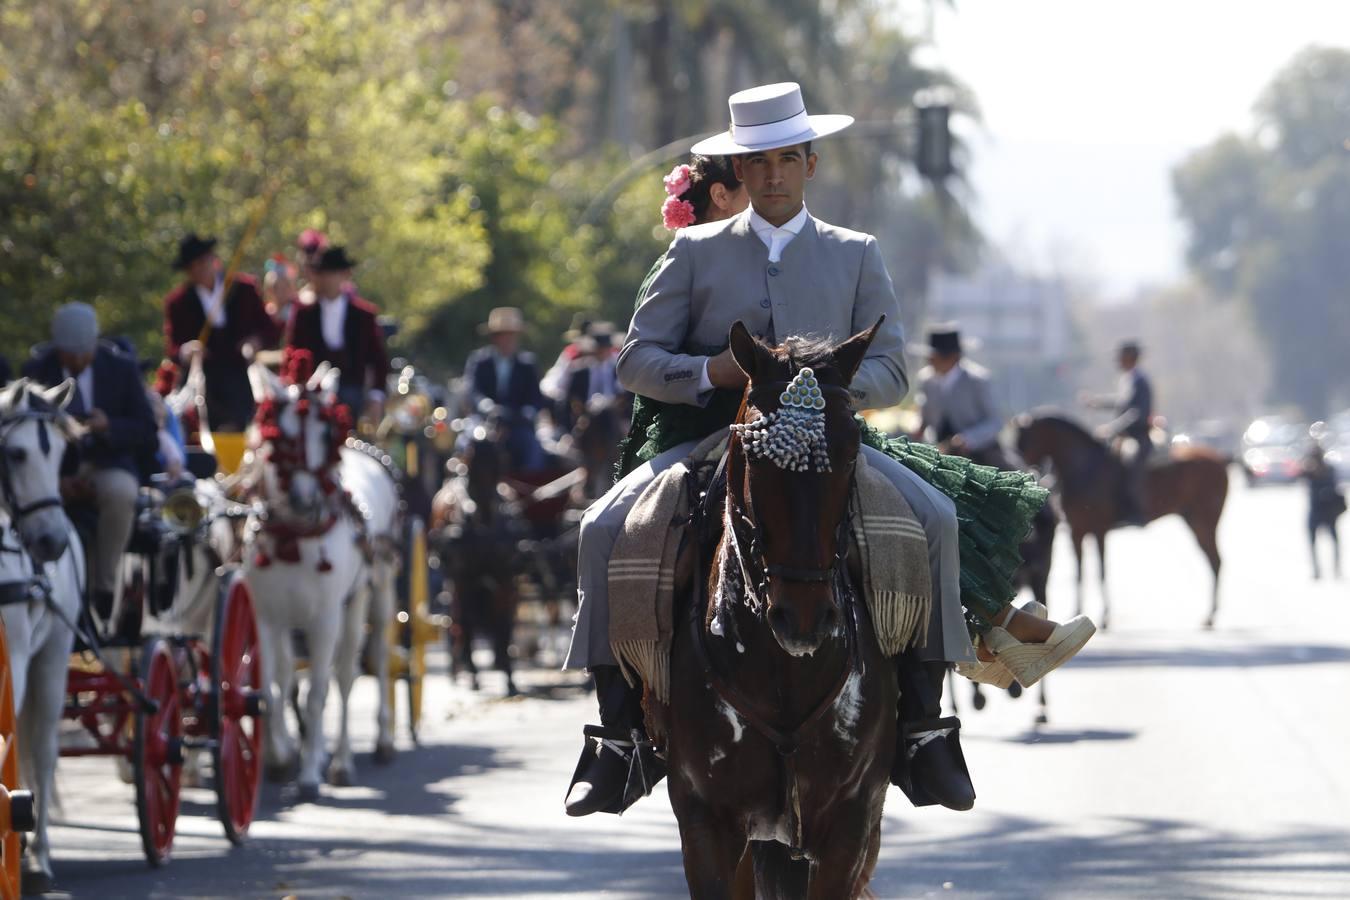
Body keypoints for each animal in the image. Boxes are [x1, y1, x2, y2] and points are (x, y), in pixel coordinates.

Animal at [245, 361, 396, 798]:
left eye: (326, 435)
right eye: (279, 439)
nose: (304, 502)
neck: (294, 537)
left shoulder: (324, 619)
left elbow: (316, 694)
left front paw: (310, 773)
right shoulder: (266, 617)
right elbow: (271, 686)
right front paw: (279, 757)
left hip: (371, 593)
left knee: (358, 669)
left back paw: (357, 754)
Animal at [1015, 412, 1231, 631]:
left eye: (1025, 440)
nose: (1022, 471)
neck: (1084, 468)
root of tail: (1220, 458)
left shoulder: (1098, 530)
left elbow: (1101, 570)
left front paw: (1104, 617)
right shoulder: (1077, 531)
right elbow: (1079, 573)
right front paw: (1076, 612)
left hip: (1205, 523)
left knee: (1216, 562)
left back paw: (1210, 616)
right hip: (1194, 520)